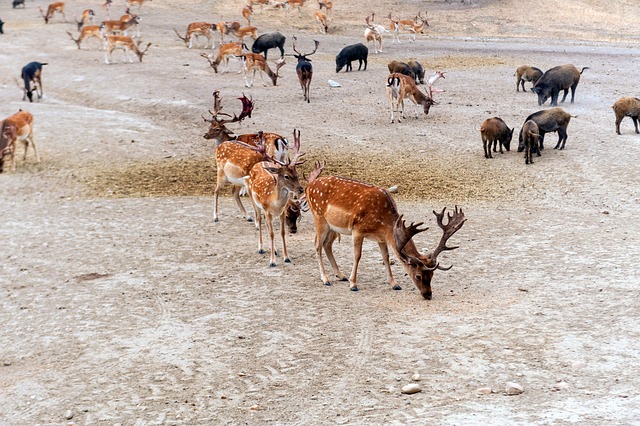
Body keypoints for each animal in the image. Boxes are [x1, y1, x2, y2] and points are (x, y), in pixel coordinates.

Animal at [246, 130, 305, 267]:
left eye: (297, 174)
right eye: (286, 176)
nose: (301, 189)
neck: (275, 202)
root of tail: (258, 163)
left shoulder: (282, 212)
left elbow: (282, 232)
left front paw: (286, 257)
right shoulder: (267, 210)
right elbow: (272, 233)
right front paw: (272, 261)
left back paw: (275, 250)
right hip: (254, 201)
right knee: (259, 220)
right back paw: (261, 248)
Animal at [305, 161, 466, 299]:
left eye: (432, 276)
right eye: (418, 276)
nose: (428, 295)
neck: (384, 222)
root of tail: (309, 186)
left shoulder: (381, 238)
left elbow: (386, 257)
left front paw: (395, 284)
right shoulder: (357, 230)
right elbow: (357, 255)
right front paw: (353, 284)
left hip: (332, 225)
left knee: (327, 244)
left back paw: (340, 275)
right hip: (319, 216)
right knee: (317, 244)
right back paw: (326, 279)